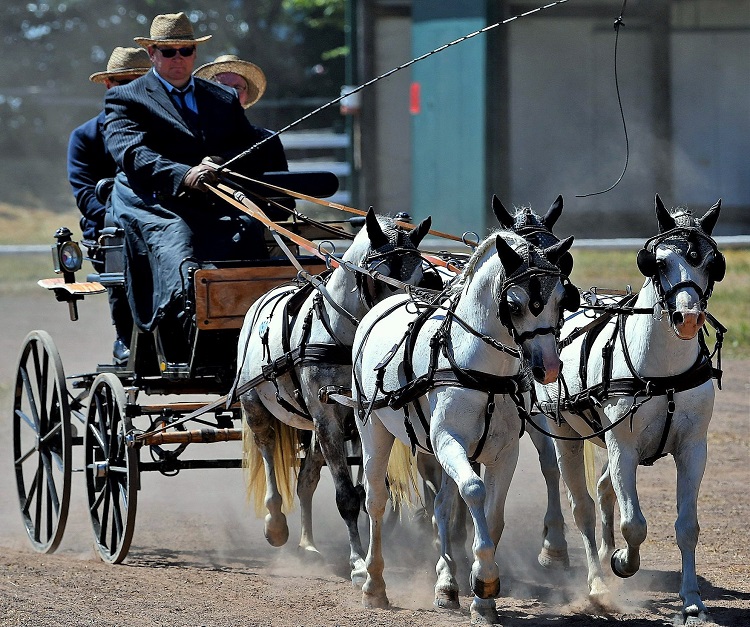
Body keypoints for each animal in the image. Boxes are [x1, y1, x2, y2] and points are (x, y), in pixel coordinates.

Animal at [238, 209, 432, 588]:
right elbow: (346, 496)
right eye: (378, 276)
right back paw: (276, 524)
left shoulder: (358, 415)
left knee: (306, 480)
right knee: (267, 448)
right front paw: (357, 563)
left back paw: (308, 546)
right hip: (256, 405)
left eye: (421, 274)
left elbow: (368, 491)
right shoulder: (327, 416)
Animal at [356, 229, 580, 624]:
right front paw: (486, 580)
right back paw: (374, 584)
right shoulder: (449, 441)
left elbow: (491, 515)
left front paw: (482, 594)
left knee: (443, 505)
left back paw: (447, 584)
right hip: (373, 432)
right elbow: (474, 491)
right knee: (376, 501)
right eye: (514, 304)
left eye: (559, 299)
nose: (549, 368)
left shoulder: (503, 452)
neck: (481, 370)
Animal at [536, 195, 728, 624]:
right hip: (566, 435)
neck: (664, 373)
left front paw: (692, 600)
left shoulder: (694, 448)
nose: (688, 318)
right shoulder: (622, 446)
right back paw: (597, 583)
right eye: (656, 262)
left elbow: (687, 526)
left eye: (712, 263)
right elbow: (634, 524)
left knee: (605, 490)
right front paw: (624, 561)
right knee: (583, 508)